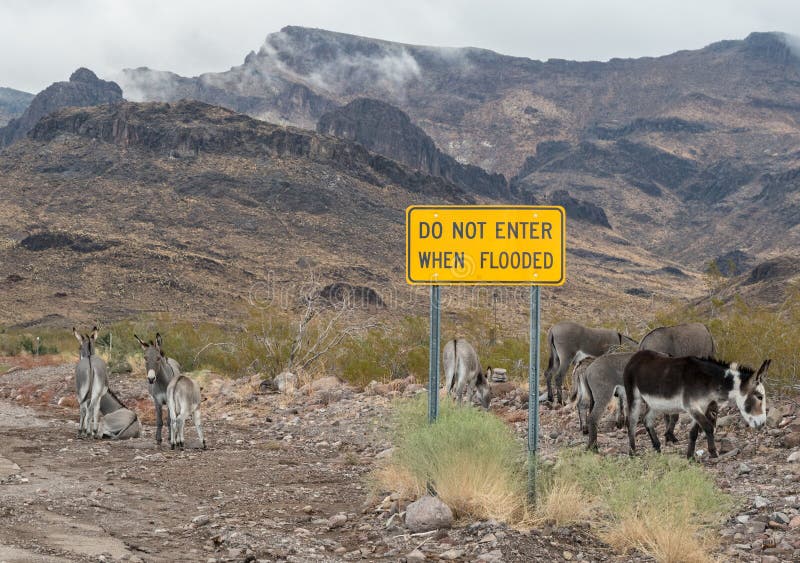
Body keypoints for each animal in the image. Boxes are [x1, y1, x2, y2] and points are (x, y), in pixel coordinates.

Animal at [624, 352, 768, 462]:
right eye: (759, 396)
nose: (762, 423)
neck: (708, 381)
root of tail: (636, 355)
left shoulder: (701, 407)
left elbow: (693, 432)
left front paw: (690, 457)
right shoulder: (691, 406)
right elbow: (708, 427)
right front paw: (713, 453)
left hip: (656, 405)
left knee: (647, 420)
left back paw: (657, 448)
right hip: (634, 397)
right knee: (632, 423)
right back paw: (632, 453)